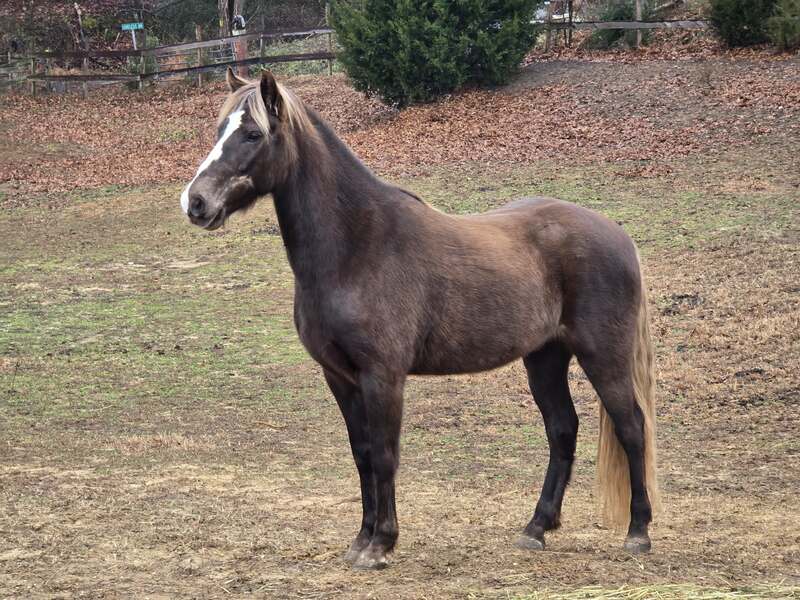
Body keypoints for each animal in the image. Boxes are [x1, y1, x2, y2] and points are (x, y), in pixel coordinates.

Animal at [180, 68, 660, 570]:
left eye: (252, 134)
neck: (358, 246)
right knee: (562, 430)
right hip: (545, 358)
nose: (195, 202)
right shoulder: (340, 377)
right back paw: (536, 529)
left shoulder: (383, 376)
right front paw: (361, 540)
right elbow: (362, 455)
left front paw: (381, 545)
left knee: (632, 428)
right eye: (219, 129)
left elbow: (385, 455)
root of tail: (618, 235)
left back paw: (638, 532)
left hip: (603, 357)